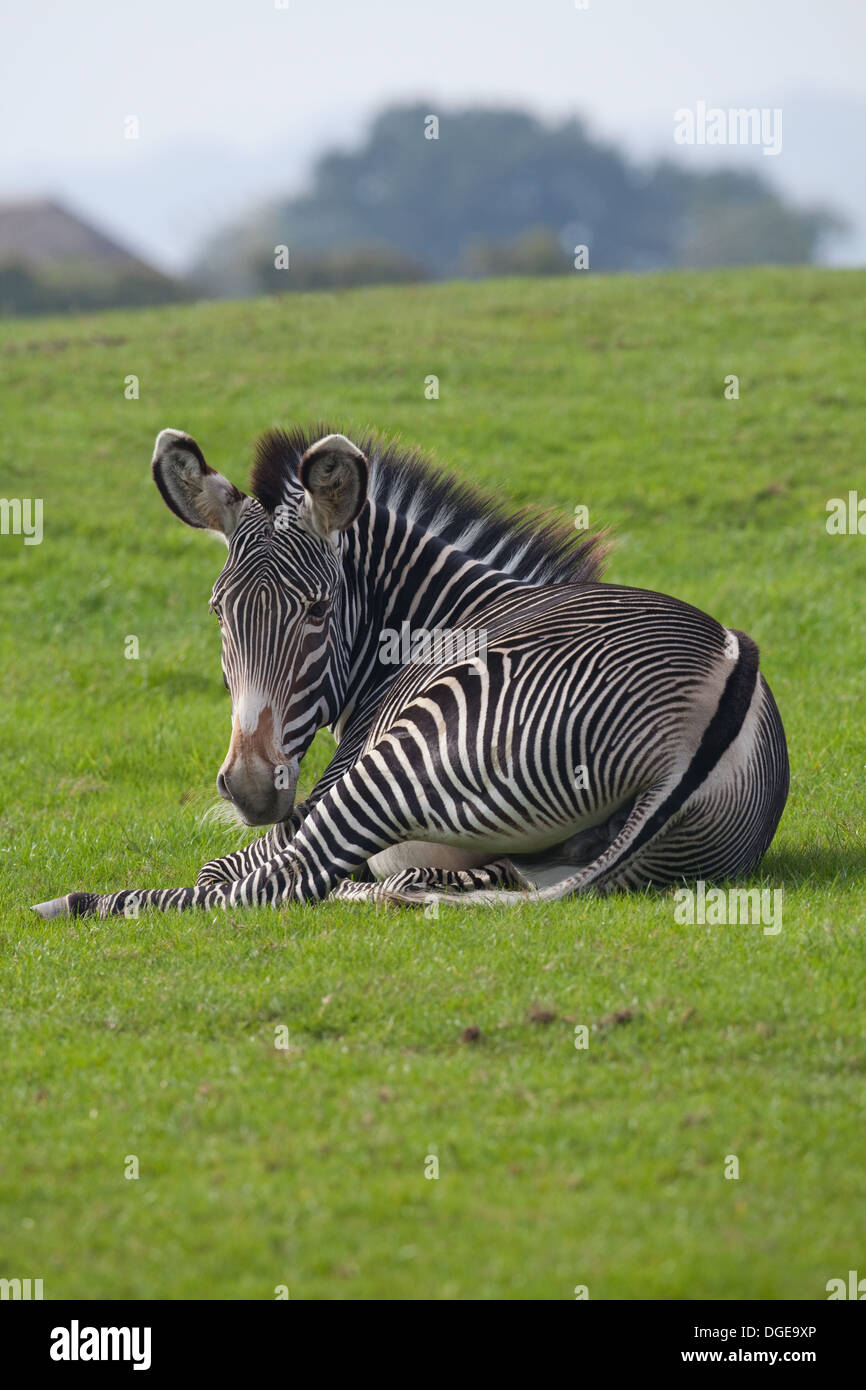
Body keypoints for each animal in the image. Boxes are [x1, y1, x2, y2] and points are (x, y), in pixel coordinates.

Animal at [33, 428, 789, 917]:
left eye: (317, 610)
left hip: (415, 754)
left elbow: (224, 865)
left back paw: (78, 902)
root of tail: (720, 689)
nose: (248, 788)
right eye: (219, 612)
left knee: (285, 881)